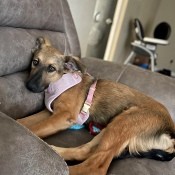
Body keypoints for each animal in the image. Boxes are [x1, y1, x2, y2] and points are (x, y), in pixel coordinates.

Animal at [18, 37, 175, 175]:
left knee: (96, 167)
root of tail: (171, 134)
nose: (29, 86)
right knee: (86, 152)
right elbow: (24, 121)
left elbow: (35, 128)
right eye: (35, 61)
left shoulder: (64, 116)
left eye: (51, 68)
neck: (61, 80)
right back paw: (56, 151)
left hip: (125, 121)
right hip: (113, 127)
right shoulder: (50, 112)